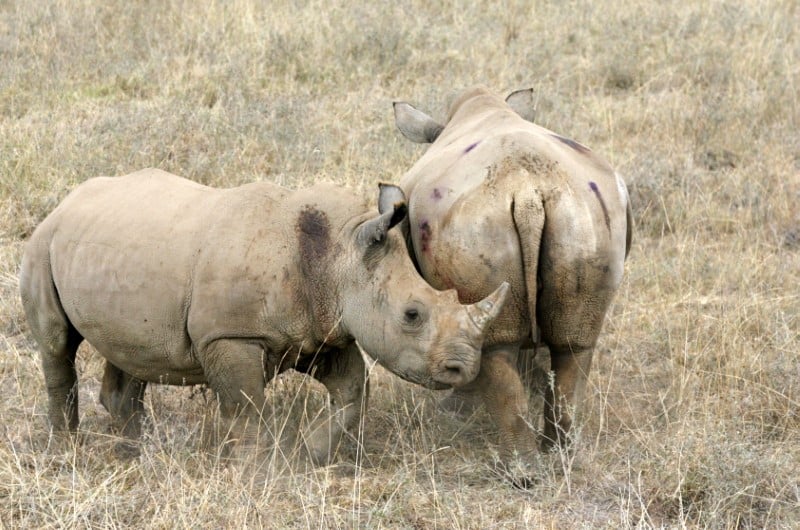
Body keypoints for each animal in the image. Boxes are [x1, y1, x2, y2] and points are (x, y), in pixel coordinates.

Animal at [19, 168, 509, 463]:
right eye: (412, 314)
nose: (463, 369)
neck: (340, 250)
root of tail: (66, 201)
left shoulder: (319, 329)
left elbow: (353, 390)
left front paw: (311, 455)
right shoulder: (230, 335)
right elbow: (247, 406)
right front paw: (256, 470)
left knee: (130, 354)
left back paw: (132, 453)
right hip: (42, 244)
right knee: (57, 346)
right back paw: (67, 451)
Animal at [393, 87, 632, 469]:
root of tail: (528, 191)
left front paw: (458, 408)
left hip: (475, 226)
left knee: (494, 344)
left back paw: (519, 469)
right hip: (585, 215)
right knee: (574, 342)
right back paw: (559, 456)